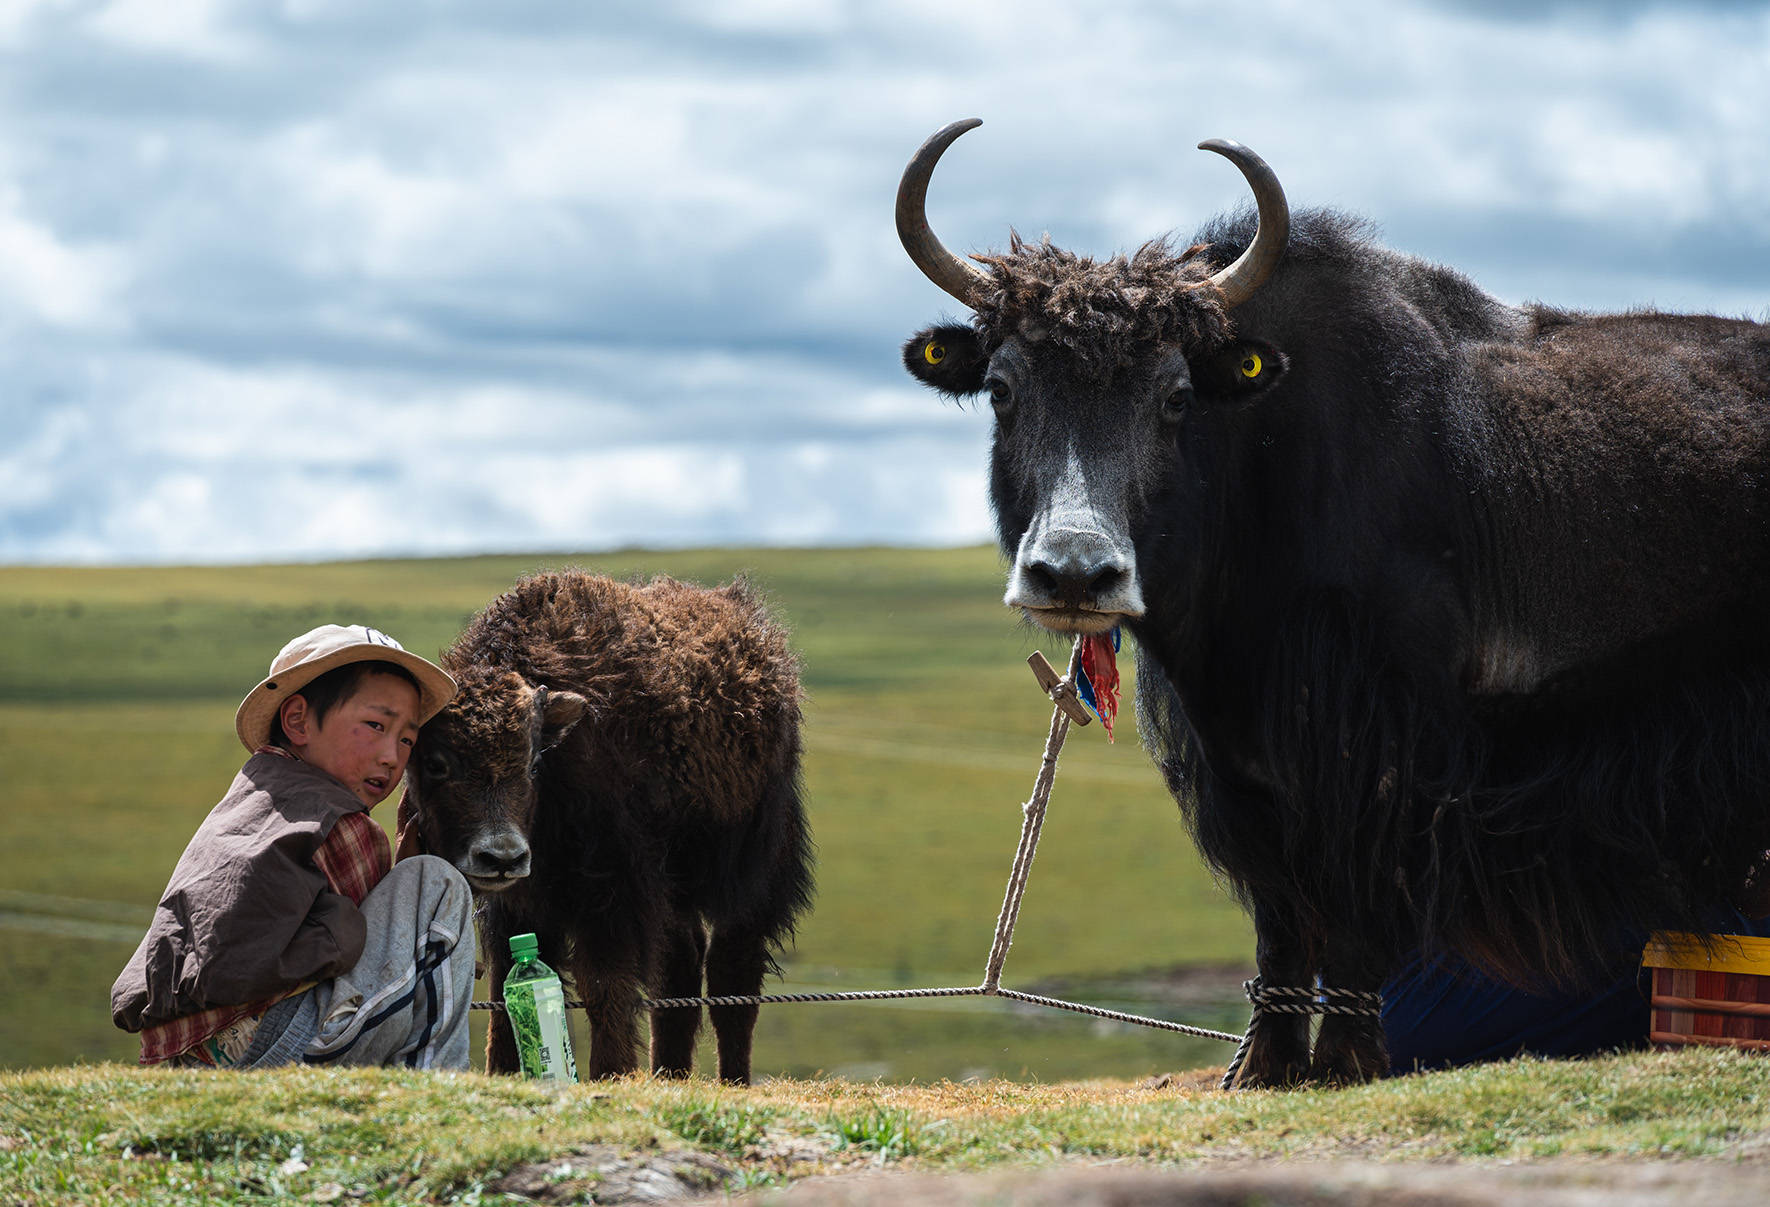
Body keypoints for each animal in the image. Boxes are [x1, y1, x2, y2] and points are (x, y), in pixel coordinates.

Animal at [394, 569, 810, 1076]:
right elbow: (502, 986)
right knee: (681, 964)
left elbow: (603, 985)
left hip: (754, 862)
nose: (502, 857)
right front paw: (504, 1071)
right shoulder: (519, 903)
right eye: (435, 763)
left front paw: (610, 1072)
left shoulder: (615, 889)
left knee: (735, 967)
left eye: (532, 764)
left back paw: (732, 1079)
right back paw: (669, 1074)